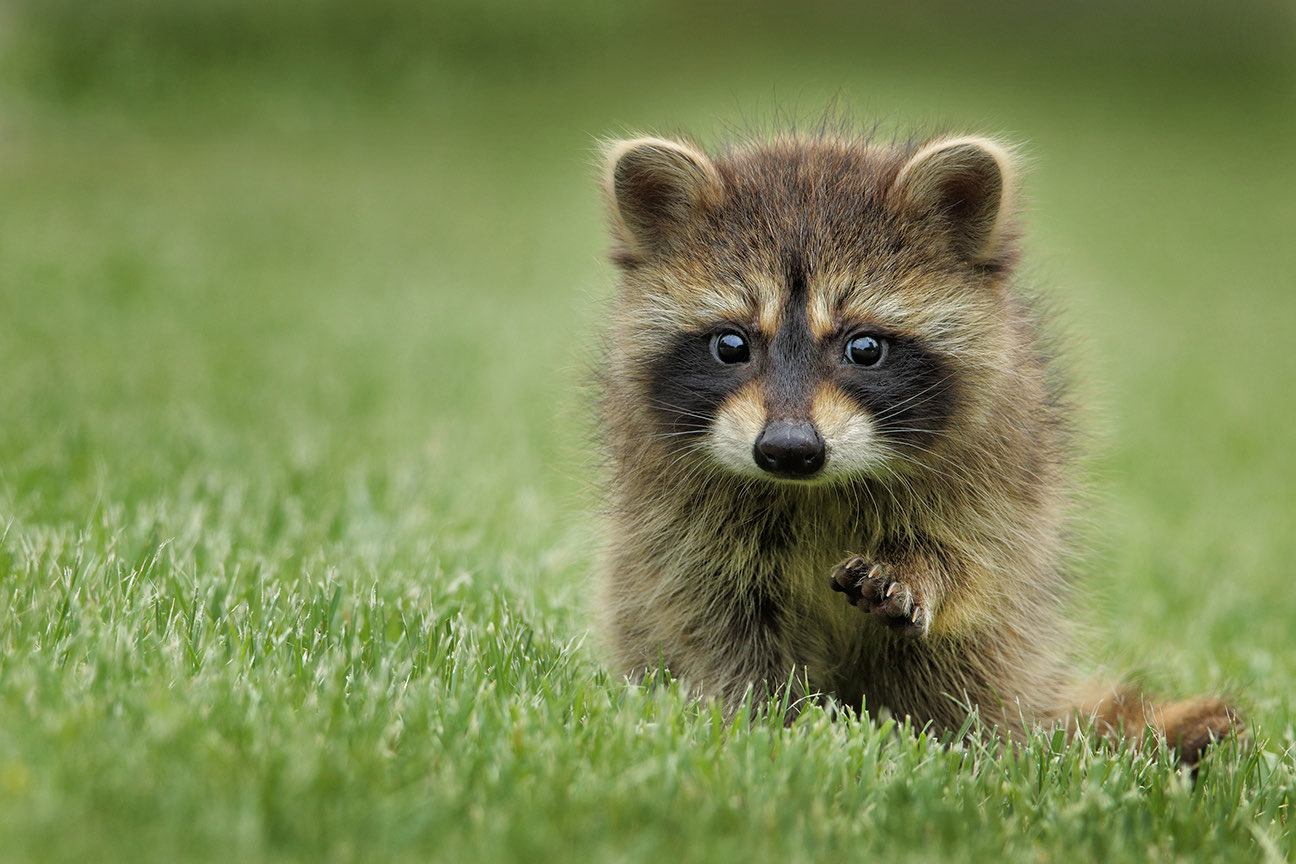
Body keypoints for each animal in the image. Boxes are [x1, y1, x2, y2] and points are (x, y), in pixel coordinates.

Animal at [593, 128, 1238, 763]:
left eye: (864, 348)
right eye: (731, 345)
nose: (789, 449)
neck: (814, 489)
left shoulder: (1001, 463)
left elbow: (976, 560)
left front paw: (921, 569)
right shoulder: (676, 519)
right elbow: (713, 618)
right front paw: (768, 722)